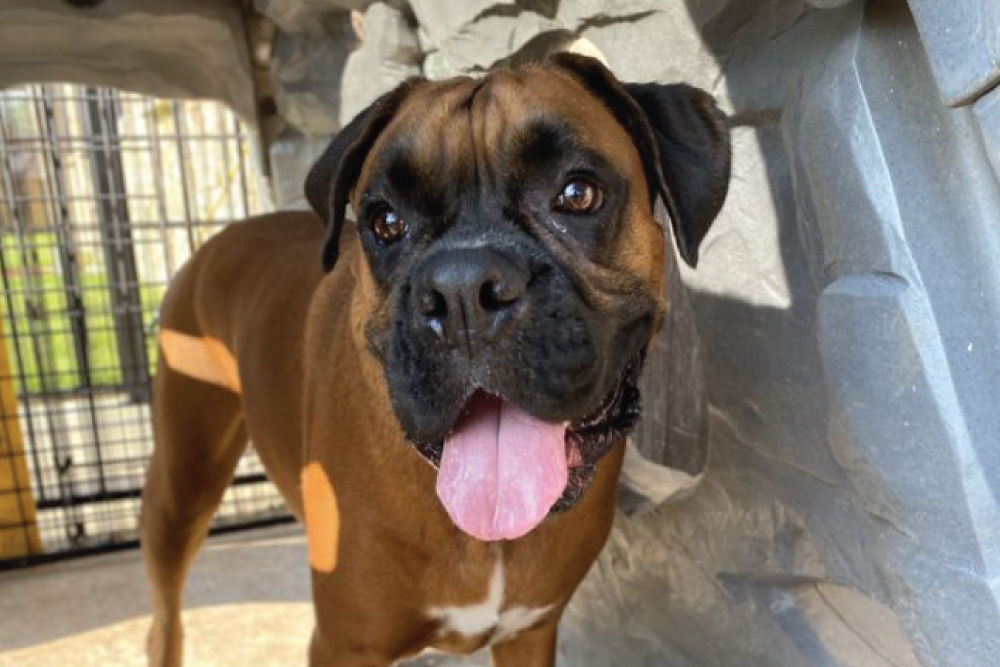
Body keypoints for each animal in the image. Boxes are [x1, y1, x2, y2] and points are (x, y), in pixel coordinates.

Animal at [141, 53, 732, 667]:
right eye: (385, 222)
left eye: (577, 194)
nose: (463, 290)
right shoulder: (344, 645)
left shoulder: (530, 634)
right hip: (182, 483)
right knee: (164, 614)